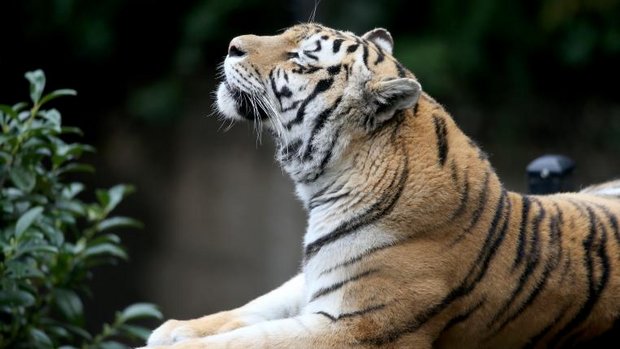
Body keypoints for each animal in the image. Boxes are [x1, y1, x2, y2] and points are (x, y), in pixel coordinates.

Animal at [143, 23, 620, 346]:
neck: (328, 183)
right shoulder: (314, 279)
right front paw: (174, 329)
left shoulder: (356, 327)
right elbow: (254, 309)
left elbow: (254, 340)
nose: (231, 46)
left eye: (301, 60)